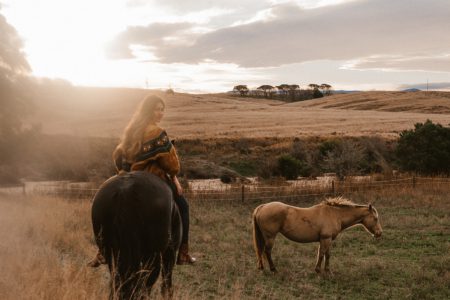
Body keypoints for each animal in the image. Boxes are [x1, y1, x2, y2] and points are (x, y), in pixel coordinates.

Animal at [251, 197, 382, 274]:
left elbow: (327, 255)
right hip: (270, 237)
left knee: (261, 251)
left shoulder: (328, 240)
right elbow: (321, 254)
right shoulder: (325, 239)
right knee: (267, 251)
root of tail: (262, 207)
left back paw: (261, 267)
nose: (379, 233)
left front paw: (327, 270)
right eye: (375, 218)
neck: (335, 214)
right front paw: (318, 270)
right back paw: (273, 269)